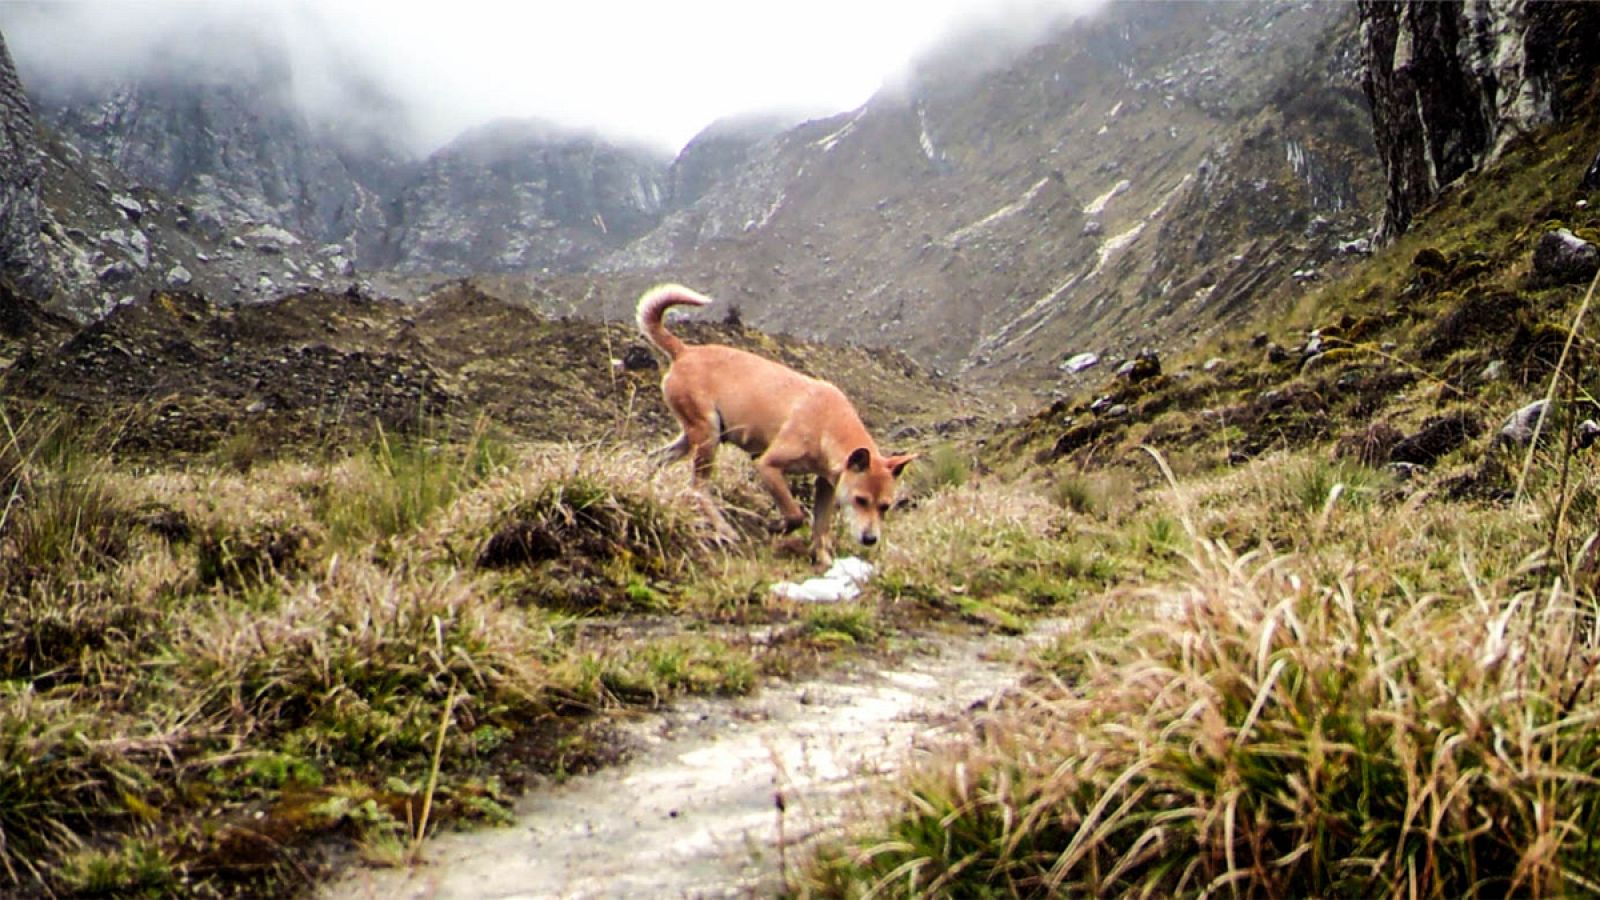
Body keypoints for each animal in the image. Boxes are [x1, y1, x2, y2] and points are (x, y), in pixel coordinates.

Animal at [633, 281, 915, 560]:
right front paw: (777, 527)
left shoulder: (825, 485)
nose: (870, 540)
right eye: (861, 500)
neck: (828, 424)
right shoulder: (768, 466)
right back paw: (724, 529)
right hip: (707, 438)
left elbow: (820, 528)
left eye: (885, 506)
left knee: (654, 459)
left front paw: (823, 560)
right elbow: (795, 514)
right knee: (697, 488)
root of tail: (684, 351)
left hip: (695, 436)